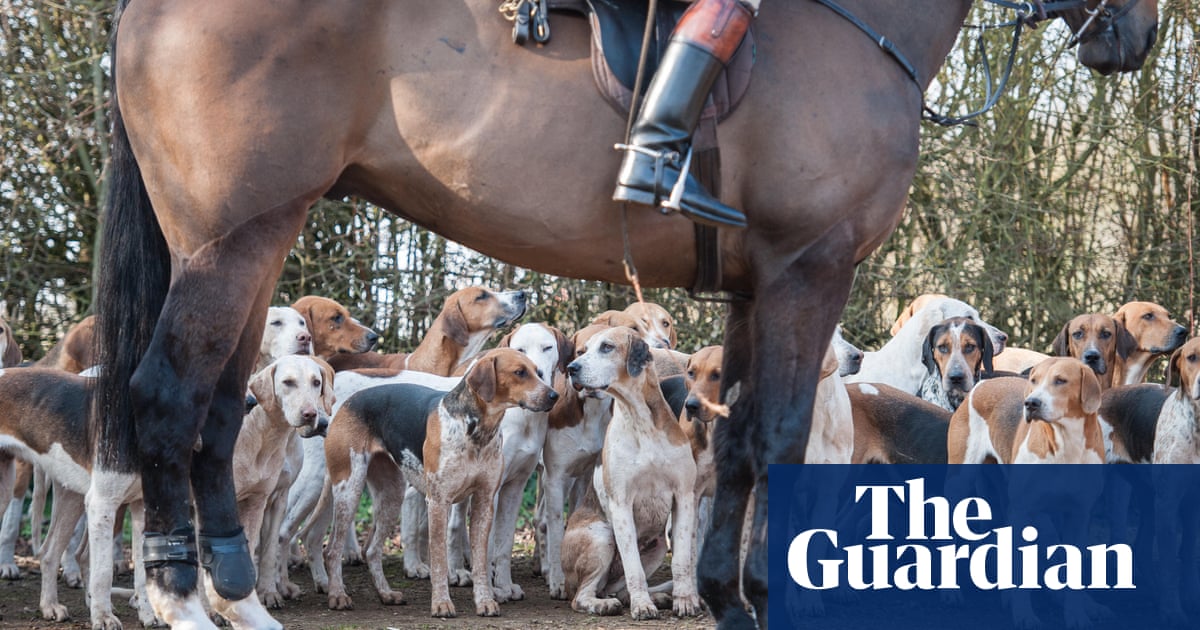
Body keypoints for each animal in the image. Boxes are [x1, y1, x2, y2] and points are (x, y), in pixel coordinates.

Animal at [98, 0, 1156, 624]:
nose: (1136, 36)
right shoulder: (809, 267)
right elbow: (773, 439)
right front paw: (746, 597)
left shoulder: (756, 286)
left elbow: (734, 442)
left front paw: (724, 588)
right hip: (236, 237)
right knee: (167, 398)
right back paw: (180, 592)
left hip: (246, 248)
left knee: (217, 409)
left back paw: (232, 588)